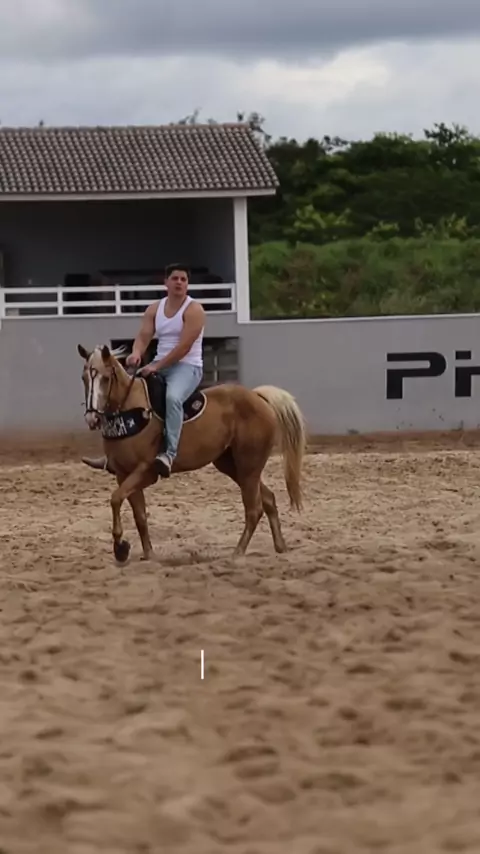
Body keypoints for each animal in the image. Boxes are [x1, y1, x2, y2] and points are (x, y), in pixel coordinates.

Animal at [77, 343, 307, 563]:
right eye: (84, 378)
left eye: (106, 378)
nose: (91, 418)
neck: (130, 410)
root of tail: (258, 397)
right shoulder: (123, 474)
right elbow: (138, 514)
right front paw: (147, 554)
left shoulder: (145, 472)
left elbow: (116, 499)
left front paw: (120, 547)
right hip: (234, 466)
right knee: (268, 499)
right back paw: (280, 546)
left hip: (249, 466)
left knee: (254, 509)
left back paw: (238, 553)